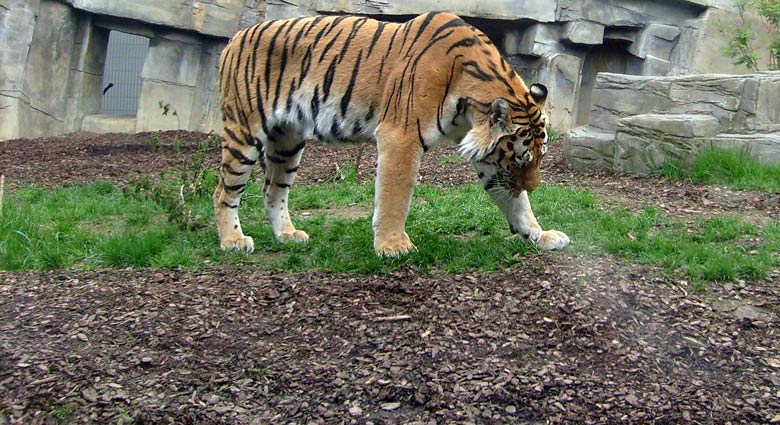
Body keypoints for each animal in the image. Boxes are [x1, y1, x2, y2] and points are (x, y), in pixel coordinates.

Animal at [213, 10, 568, 255]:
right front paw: (393, 245)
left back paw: (287, 236)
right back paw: (233, 240)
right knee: (224, 191)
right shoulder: (402, 136)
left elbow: (518, 205)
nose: (535, 187)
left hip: (287, 141)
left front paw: (541, 235)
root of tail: (236, 37)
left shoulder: (486, 157)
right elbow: (395, 195)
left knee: (272, 190)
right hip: (244, 132)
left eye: (539, 158)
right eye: (520, 160)